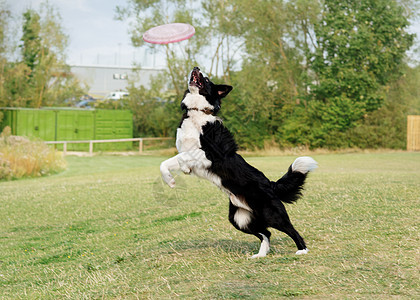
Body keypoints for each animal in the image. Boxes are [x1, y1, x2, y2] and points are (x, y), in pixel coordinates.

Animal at [159, 66, 316, 258]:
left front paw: (183, 169)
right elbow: (166, 163)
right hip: (239, 219)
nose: (196, 67)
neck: (197, 112)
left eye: (206, 79)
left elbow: (182, 158)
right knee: (266, 233)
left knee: (291, 230)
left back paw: (302, 250)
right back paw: (260, 255)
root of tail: (271, 185)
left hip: (271, 213)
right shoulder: (186, 151)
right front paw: (171, 181)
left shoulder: (213, 154)